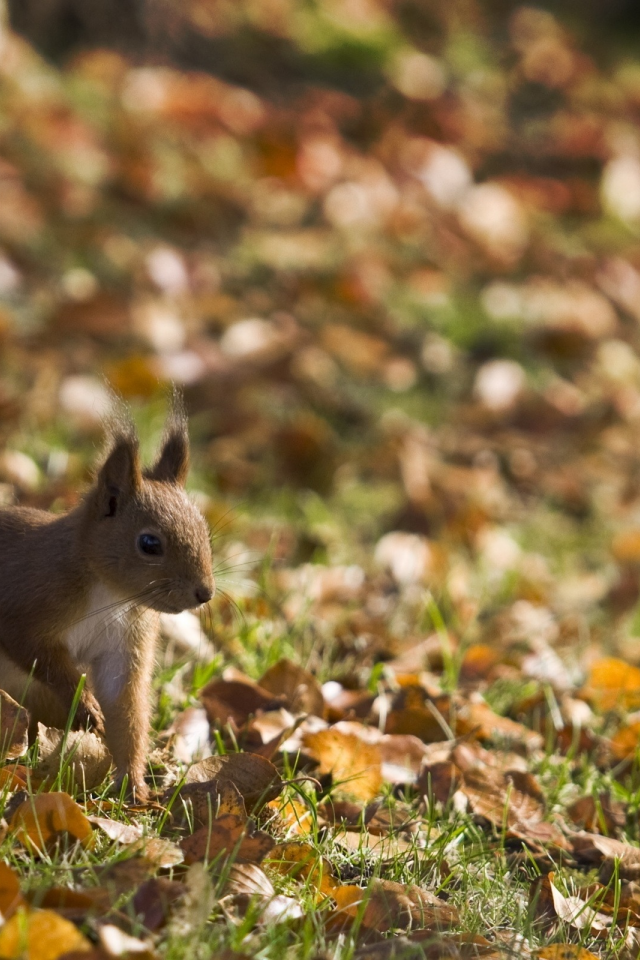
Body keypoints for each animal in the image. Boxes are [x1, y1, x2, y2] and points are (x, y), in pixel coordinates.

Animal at [0, 398, 216, 804]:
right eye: (149, 543)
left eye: (205, 531)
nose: (205, 593)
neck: (111, 596)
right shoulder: (25, 603)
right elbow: (37, 653)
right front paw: (85, 706)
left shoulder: (126, 641)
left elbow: (125, 707)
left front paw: (134, 786)